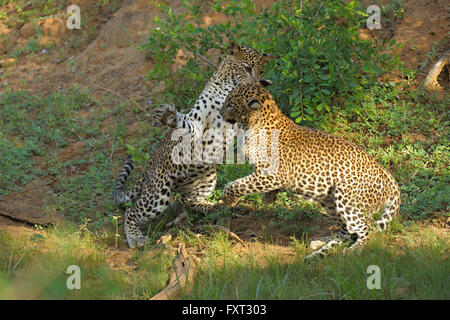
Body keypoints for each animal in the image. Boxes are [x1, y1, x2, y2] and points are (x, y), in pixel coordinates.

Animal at [112, 42, 274, 248]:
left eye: (261, 71)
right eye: (247, 68)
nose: (257, 82)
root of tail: (148, 166)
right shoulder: (196, 123)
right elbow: (184, 123)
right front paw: (169, 117)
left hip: (207, 179)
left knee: (188, 199)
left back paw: (214, 206)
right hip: (158, 194)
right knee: (131, 212)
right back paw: (135, 237)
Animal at [218, 80, 400, 260]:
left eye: (230, 104)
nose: (221, 113)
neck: (252, 125)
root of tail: (390, 179)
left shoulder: (273, 175)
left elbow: (237, 185)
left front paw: (228, 200)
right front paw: (268, 198)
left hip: (347, 197)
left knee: (366, 228)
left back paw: (355, 249)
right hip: (329, 200)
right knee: (348, 231)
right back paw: (321, 242)